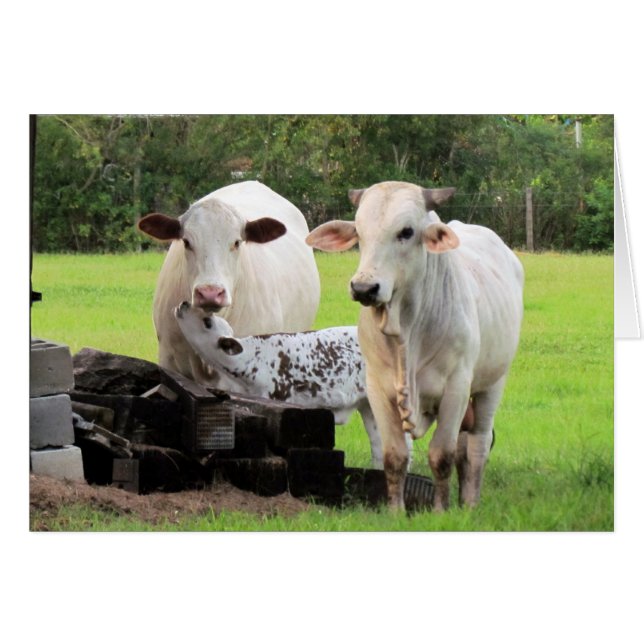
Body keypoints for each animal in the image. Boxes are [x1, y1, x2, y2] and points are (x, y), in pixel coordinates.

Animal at [173, 300, 414, 469]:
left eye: (208, 321)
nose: (184, 303)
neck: (252, 360)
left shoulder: (276, 398)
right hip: (369, 405)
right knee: (380, 445)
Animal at [306, 181, 524, 512]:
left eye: (406, 231)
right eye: (359, 231)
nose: (364, 288)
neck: (405, 331)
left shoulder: (456, 388)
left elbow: (441, 455)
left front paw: (441, 511)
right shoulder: (378, 390)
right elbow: (394, 457)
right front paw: (396, 512)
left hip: (492, 383)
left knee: (478, 445)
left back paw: (470, 504)